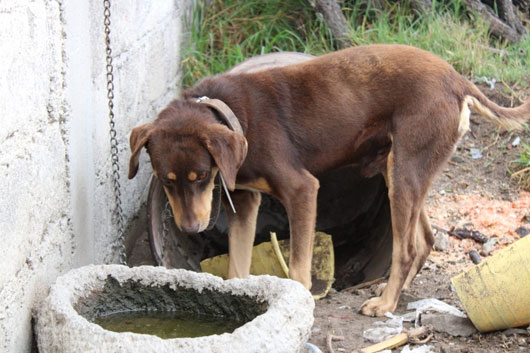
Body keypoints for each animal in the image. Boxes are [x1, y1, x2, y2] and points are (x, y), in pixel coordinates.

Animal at [129, 44, 528, 316]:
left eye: (201, 177)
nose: (190, 229)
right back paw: (394, 293)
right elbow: (236, 267)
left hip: (406, 172)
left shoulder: (302, 190)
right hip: (399, 170)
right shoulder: (244, 200)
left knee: (407, 248)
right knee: (425, 239)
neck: (233, 115)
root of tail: (457, 79)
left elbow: (298, 268)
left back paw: (385, 304)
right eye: (166, 181)